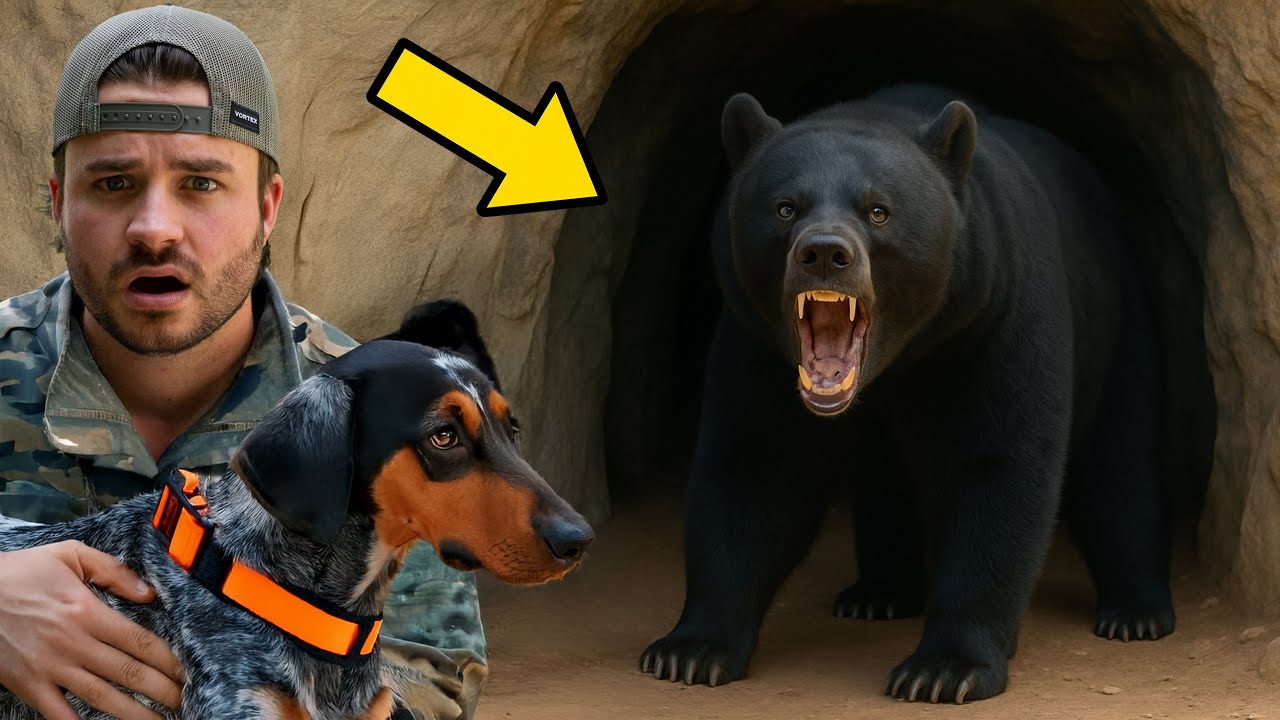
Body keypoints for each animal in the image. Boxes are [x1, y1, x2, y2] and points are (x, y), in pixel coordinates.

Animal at [639, 85, 1175, 703]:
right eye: (786, 207)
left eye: (878, 210)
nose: (825, 253)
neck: (897, 360)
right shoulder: (758, 345)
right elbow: (753, 466)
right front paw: (689, 651)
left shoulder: (994, 319)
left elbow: (997, 466)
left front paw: (945, 669)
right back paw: (879, 593)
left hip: (1121, 317)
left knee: (1121, 459)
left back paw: (1135, 612)